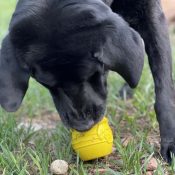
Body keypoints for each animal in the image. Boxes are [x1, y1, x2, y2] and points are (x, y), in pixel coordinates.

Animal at [0, 0, 173, 163]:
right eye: (48, 85)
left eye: (93, 74)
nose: (83, 126)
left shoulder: (152, 13)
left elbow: (164, 88)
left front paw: (170, 142)